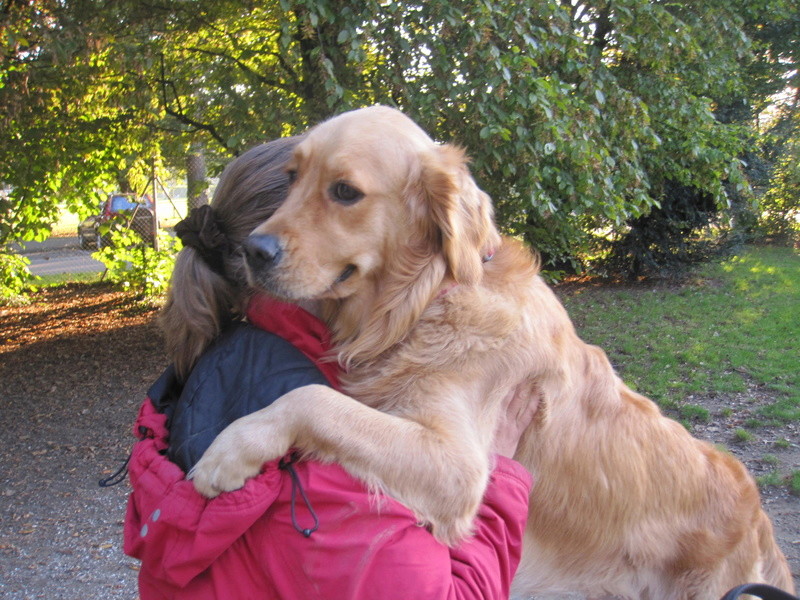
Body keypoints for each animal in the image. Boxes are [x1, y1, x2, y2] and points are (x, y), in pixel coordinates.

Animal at [189, 105, 792, 596]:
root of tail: (759, 515)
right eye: (292, 178)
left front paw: (231, 451)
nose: (254, 250)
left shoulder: (459, 468)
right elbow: (323, 397)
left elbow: (314, 398)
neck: (423, 302)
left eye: (344, 192)